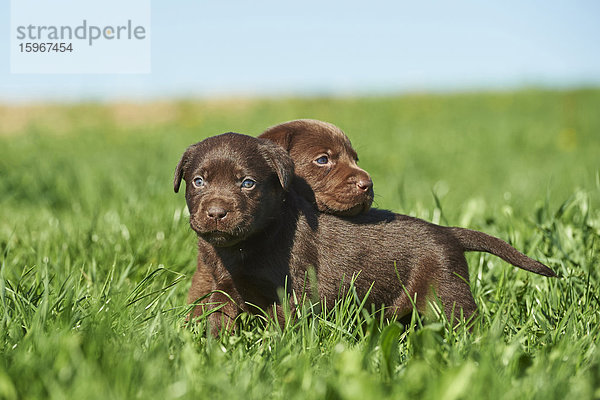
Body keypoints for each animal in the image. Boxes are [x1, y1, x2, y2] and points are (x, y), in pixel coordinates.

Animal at [175, 133, 556, 332]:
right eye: (198, 181)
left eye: (248, 183)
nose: (216, 212)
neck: (248, 243)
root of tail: (446, 231)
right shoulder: (224, 290)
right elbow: (216, 322)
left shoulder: (291, 294)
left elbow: (285, 330)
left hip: (447, 295)